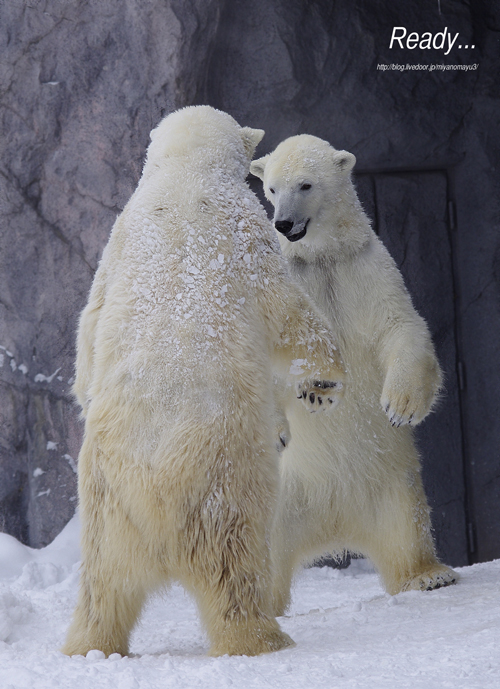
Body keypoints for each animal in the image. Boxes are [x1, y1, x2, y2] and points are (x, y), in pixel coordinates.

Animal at [62, 106, 346, 656]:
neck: (181, 175)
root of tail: (152, 500)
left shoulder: (115, 245)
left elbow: (90, 324)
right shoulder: (246, 233)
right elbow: (287, 313)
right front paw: (323, 382)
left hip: (106, 507)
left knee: (104, 585)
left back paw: (89, 644)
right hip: (222, 484)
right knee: (234, 567)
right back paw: (261, 637)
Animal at [250, 134, 458, 612]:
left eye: (305, 184)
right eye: (271, 188)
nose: (283, 223)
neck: (322, 256)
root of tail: (334, 527)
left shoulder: (364, 270)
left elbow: (401, 328)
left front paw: (400, 406)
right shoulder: (288, 284)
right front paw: (315, 390)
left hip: (392, 482)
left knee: (405, 527)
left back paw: (428, 575)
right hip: (279, 495)